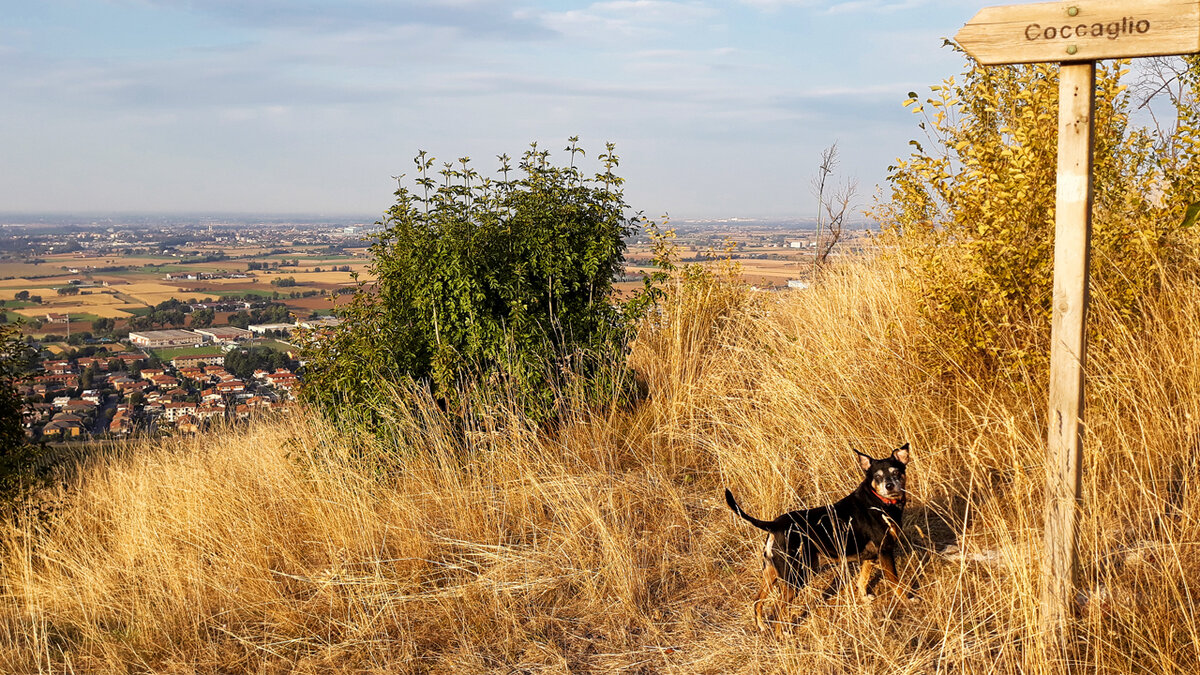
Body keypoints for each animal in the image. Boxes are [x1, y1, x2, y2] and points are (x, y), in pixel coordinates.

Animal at [720, 444, 907, 629]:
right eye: (878, 476)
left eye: (896, 472)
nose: (889, 486)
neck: (878, 501)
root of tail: (775, 525)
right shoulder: (885, 551)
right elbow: (896, 583)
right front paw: (907, 600)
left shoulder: (870, 555)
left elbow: (863, 579)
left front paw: (864, 597)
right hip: (795, 576)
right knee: (778, 608)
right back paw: (783, 634)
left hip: (773, 571)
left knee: (757, 601)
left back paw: (762, 626)